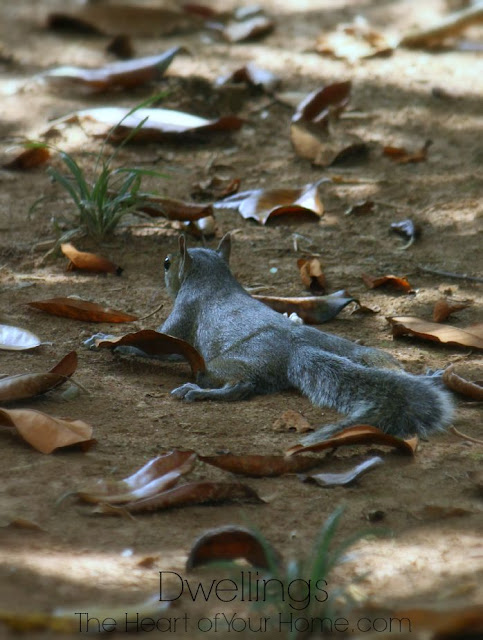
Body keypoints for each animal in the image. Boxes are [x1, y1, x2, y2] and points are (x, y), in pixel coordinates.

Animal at [159, 232, 454, 442]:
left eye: (167, 263)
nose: (164, 264)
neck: (213, 279)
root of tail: (296, 349)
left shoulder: (185, 310)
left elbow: (166, 339)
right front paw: (292, 316)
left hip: (222, 365)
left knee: (240, 384)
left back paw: (197, 391)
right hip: (356, 351)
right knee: (384, 363)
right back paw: (430, 378)